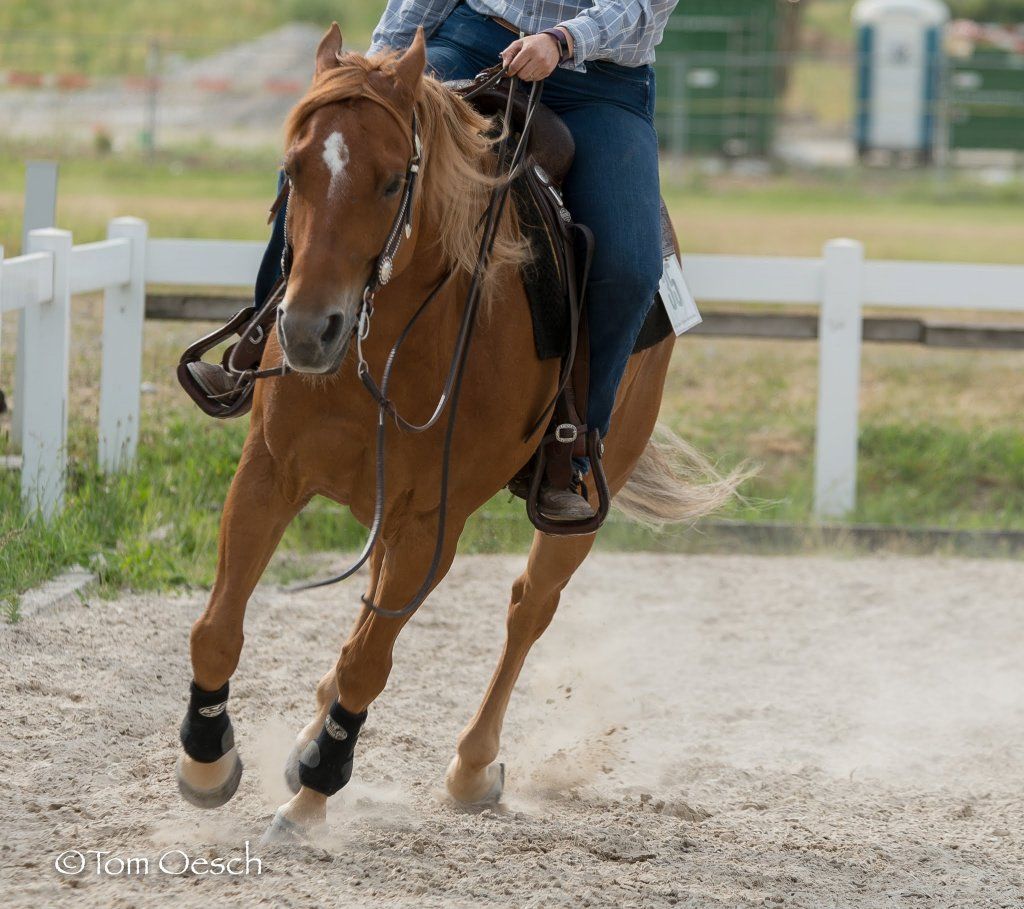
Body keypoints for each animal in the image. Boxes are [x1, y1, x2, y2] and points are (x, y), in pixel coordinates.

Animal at [175, 25, 742, 841]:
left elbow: (370, 662)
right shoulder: (270, 473)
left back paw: (471, 766)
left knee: (528, 609)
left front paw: (314, 791)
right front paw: (207, 758)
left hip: (577, 501)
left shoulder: (433, 520)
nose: (310, 330)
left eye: (391, 183)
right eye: (293, 171)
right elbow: (219, 626)